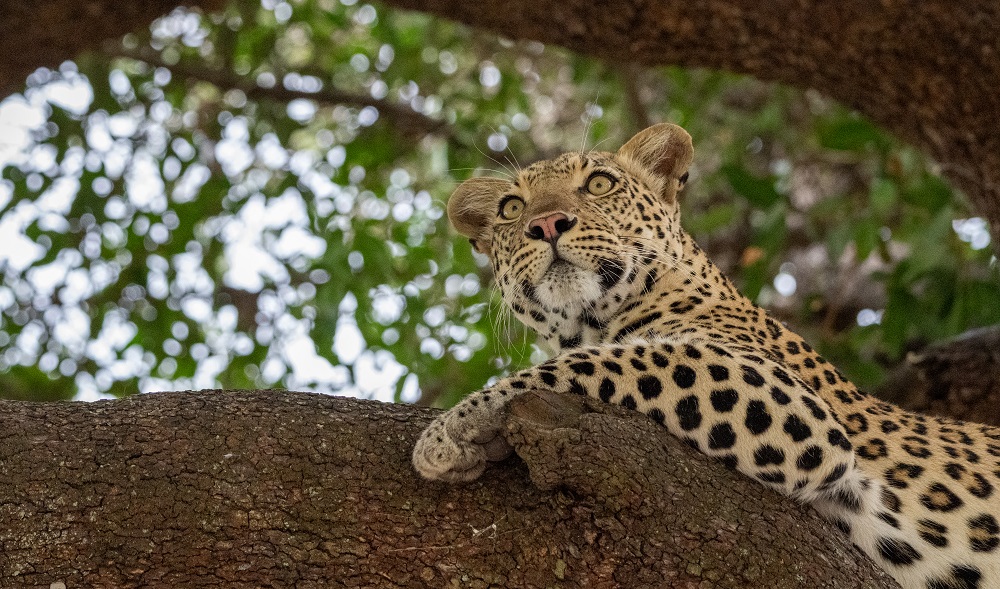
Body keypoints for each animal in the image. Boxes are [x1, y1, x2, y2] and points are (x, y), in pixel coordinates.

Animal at [411, 123, 1000, 589]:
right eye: (512, 209)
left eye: (599, 183)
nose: (548, 223)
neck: (589, 322)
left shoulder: (784, 396)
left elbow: (595, 363)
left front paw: (452, 428)